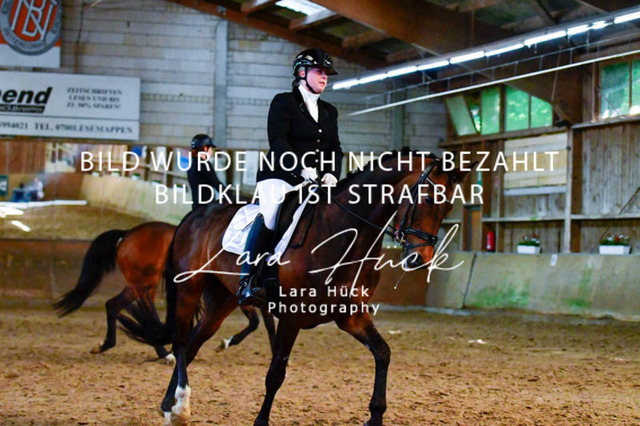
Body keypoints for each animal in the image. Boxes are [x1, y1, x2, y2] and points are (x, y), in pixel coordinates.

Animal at [53, 221, 276, 361]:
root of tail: (128, 233)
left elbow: (265, 324)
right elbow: (256, 323)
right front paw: (226, 343)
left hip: (145, 286)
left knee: (136, 313)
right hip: (143, 284)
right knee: (122, 308)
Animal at [119, 153, 472, 425]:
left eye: (447, 208)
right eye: (427, 199)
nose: (419, 259)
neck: (342, 235)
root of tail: (195, 215)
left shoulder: (350, 316)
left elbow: (383, 353)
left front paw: (375, 416)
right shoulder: (291, 317)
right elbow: (276, 373)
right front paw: (261, 421)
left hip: (222, 301)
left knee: (192, 344)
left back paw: (169, 404)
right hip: (189, 289)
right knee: (180, 344)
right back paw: (180, 406)